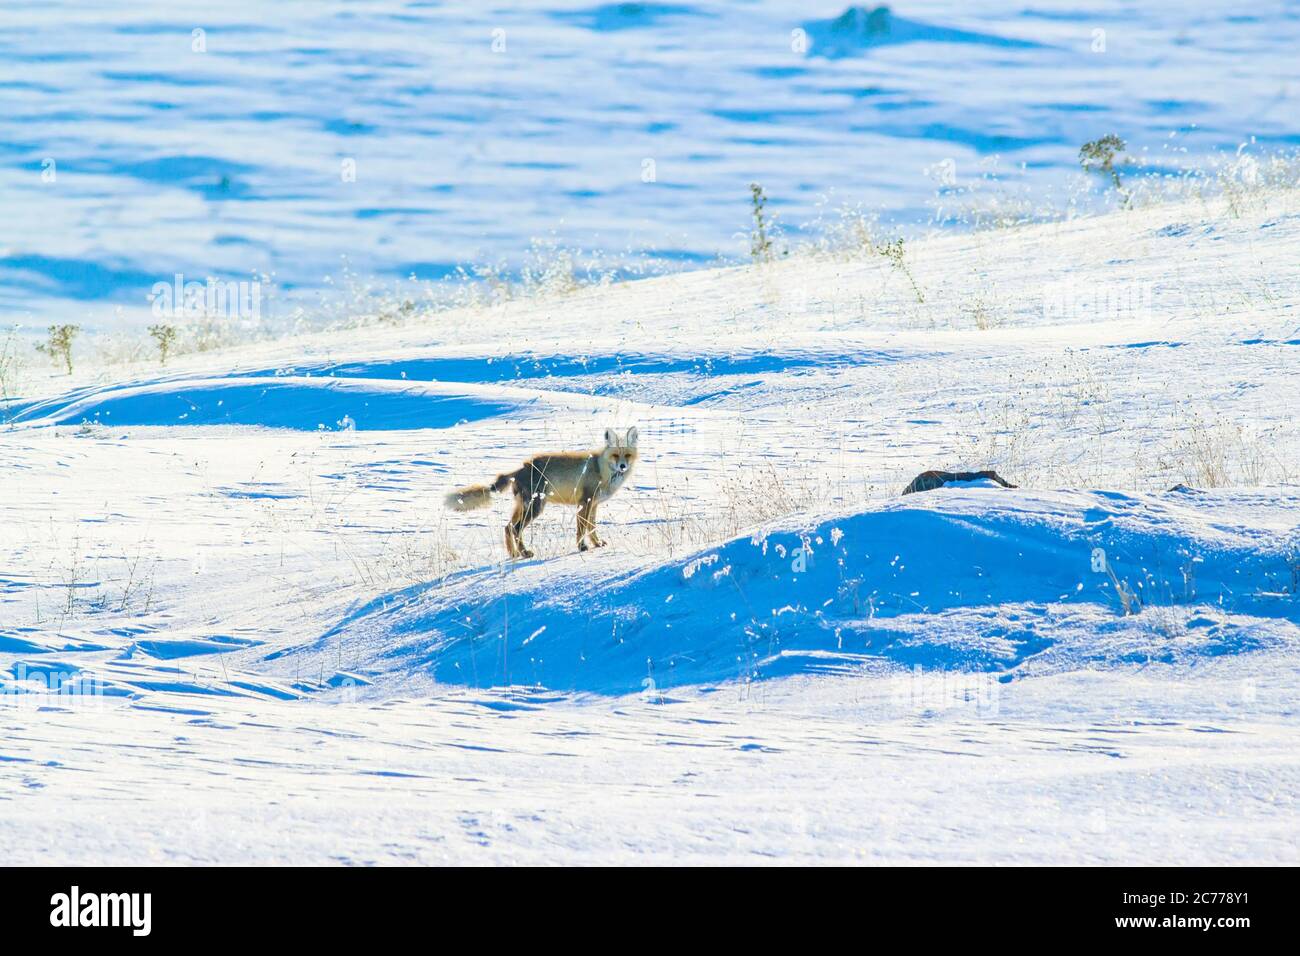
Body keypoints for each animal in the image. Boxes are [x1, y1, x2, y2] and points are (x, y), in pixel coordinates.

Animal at [444, 427, 639, 559]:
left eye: (627, 455)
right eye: (615, 455)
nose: (623, 466)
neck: (601, 470)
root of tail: (521, 468)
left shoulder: (594, 504)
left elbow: (592, 527)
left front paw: (597, 544)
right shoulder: (585, 502)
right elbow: (582, 528)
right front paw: (582, 548)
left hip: (523, 506)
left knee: (507, 527)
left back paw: (514, 554)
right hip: (535, 507)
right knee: (515, 529)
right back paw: (525, 553)